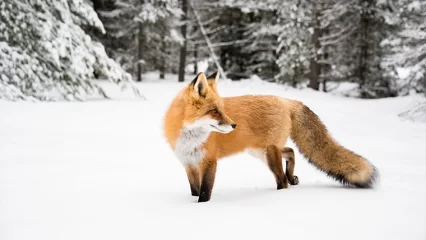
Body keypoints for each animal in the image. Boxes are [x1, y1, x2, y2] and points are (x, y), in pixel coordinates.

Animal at [163, 71, 380, 202]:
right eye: (214, 111)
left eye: (222, 109)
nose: (234, 125)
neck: (190, 138)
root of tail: (286, 100)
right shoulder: (189, 163)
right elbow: (194, 189)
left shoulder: (209, 161)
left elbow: (205, 191)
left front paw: (201, 207)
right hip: (260, 151)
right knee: (291, 151)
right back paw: (292, 177)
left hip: (268, 154)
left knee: (282, 179)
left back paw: (281, 192)